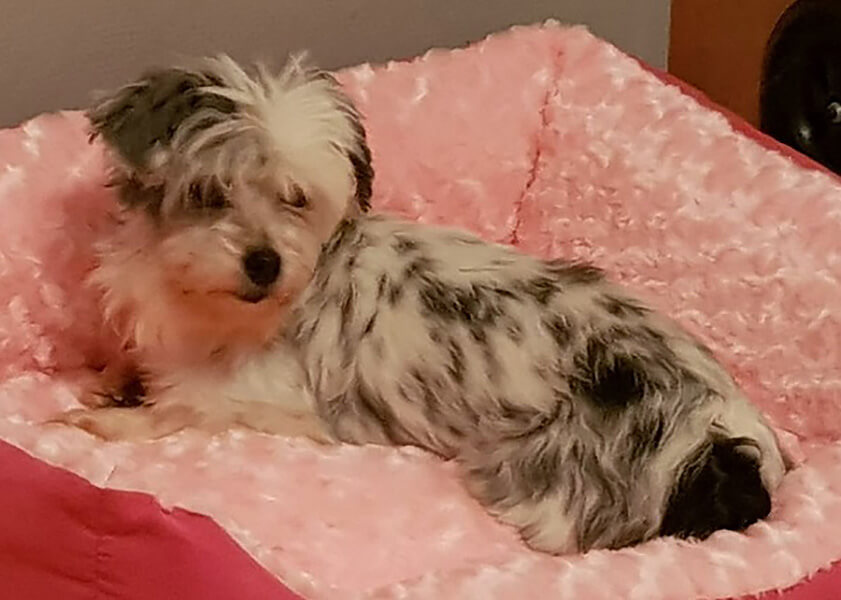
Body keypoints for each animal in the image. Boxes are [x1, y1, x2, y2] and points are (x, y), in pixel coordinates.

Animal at [57, 54, 787, 554]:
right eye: (208, 193)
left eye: (297, 200)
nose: (266, 264)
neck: (205, 303)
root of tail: (730, 441)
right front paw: (114, 381)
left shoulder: (282, 406)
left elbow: (182, 411)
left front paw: (109, 422)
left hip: (535, 479)